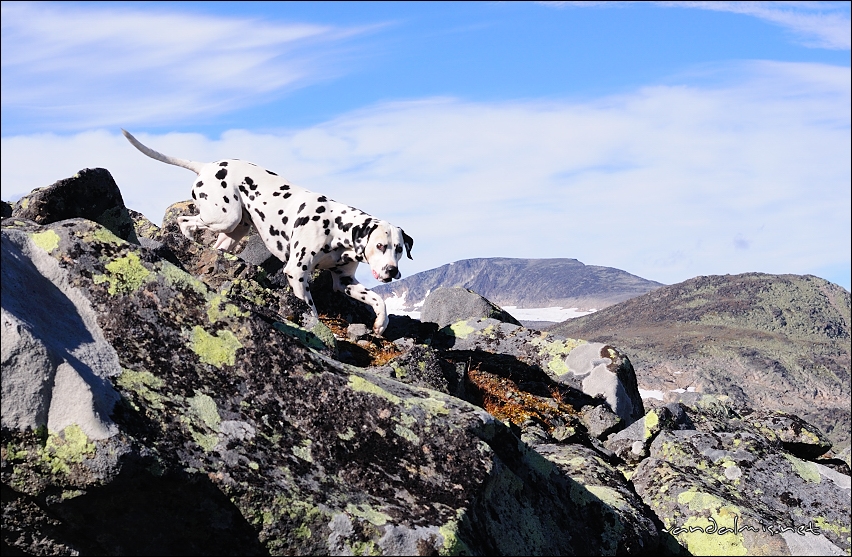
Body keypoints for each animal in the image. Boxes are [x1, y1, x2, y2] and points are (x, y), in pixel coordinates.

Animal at [121, 129, 412, 334]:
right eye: (379, 246)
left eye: (398, 249)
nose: (391, 271)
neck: (337, 227)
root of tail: (206, 165)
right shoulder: (297, 272)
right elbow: (310, 308)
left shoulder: (345, 281)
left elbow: (378, 299)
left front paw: (381, 324)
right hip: (223, 216)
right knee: (185, 221)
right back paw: (189, 239)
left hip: (236, 228)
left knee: (218, 245)